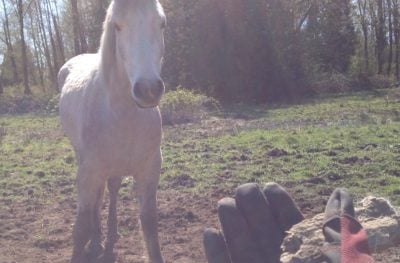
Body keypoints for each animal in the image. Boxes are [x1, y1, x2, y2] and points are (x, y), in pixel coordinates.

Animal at [57, 1, 166, 262]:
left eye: (161, 23)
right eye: (117, 26)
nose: (148, 90)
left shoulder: (150, 169)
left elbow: (149, 222)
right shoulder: (88, 173)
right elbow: (80, 229)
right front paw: (89, 238)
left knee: (112, 189)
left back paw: (110, 233)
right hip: (82, 157)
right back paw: (97, 238)